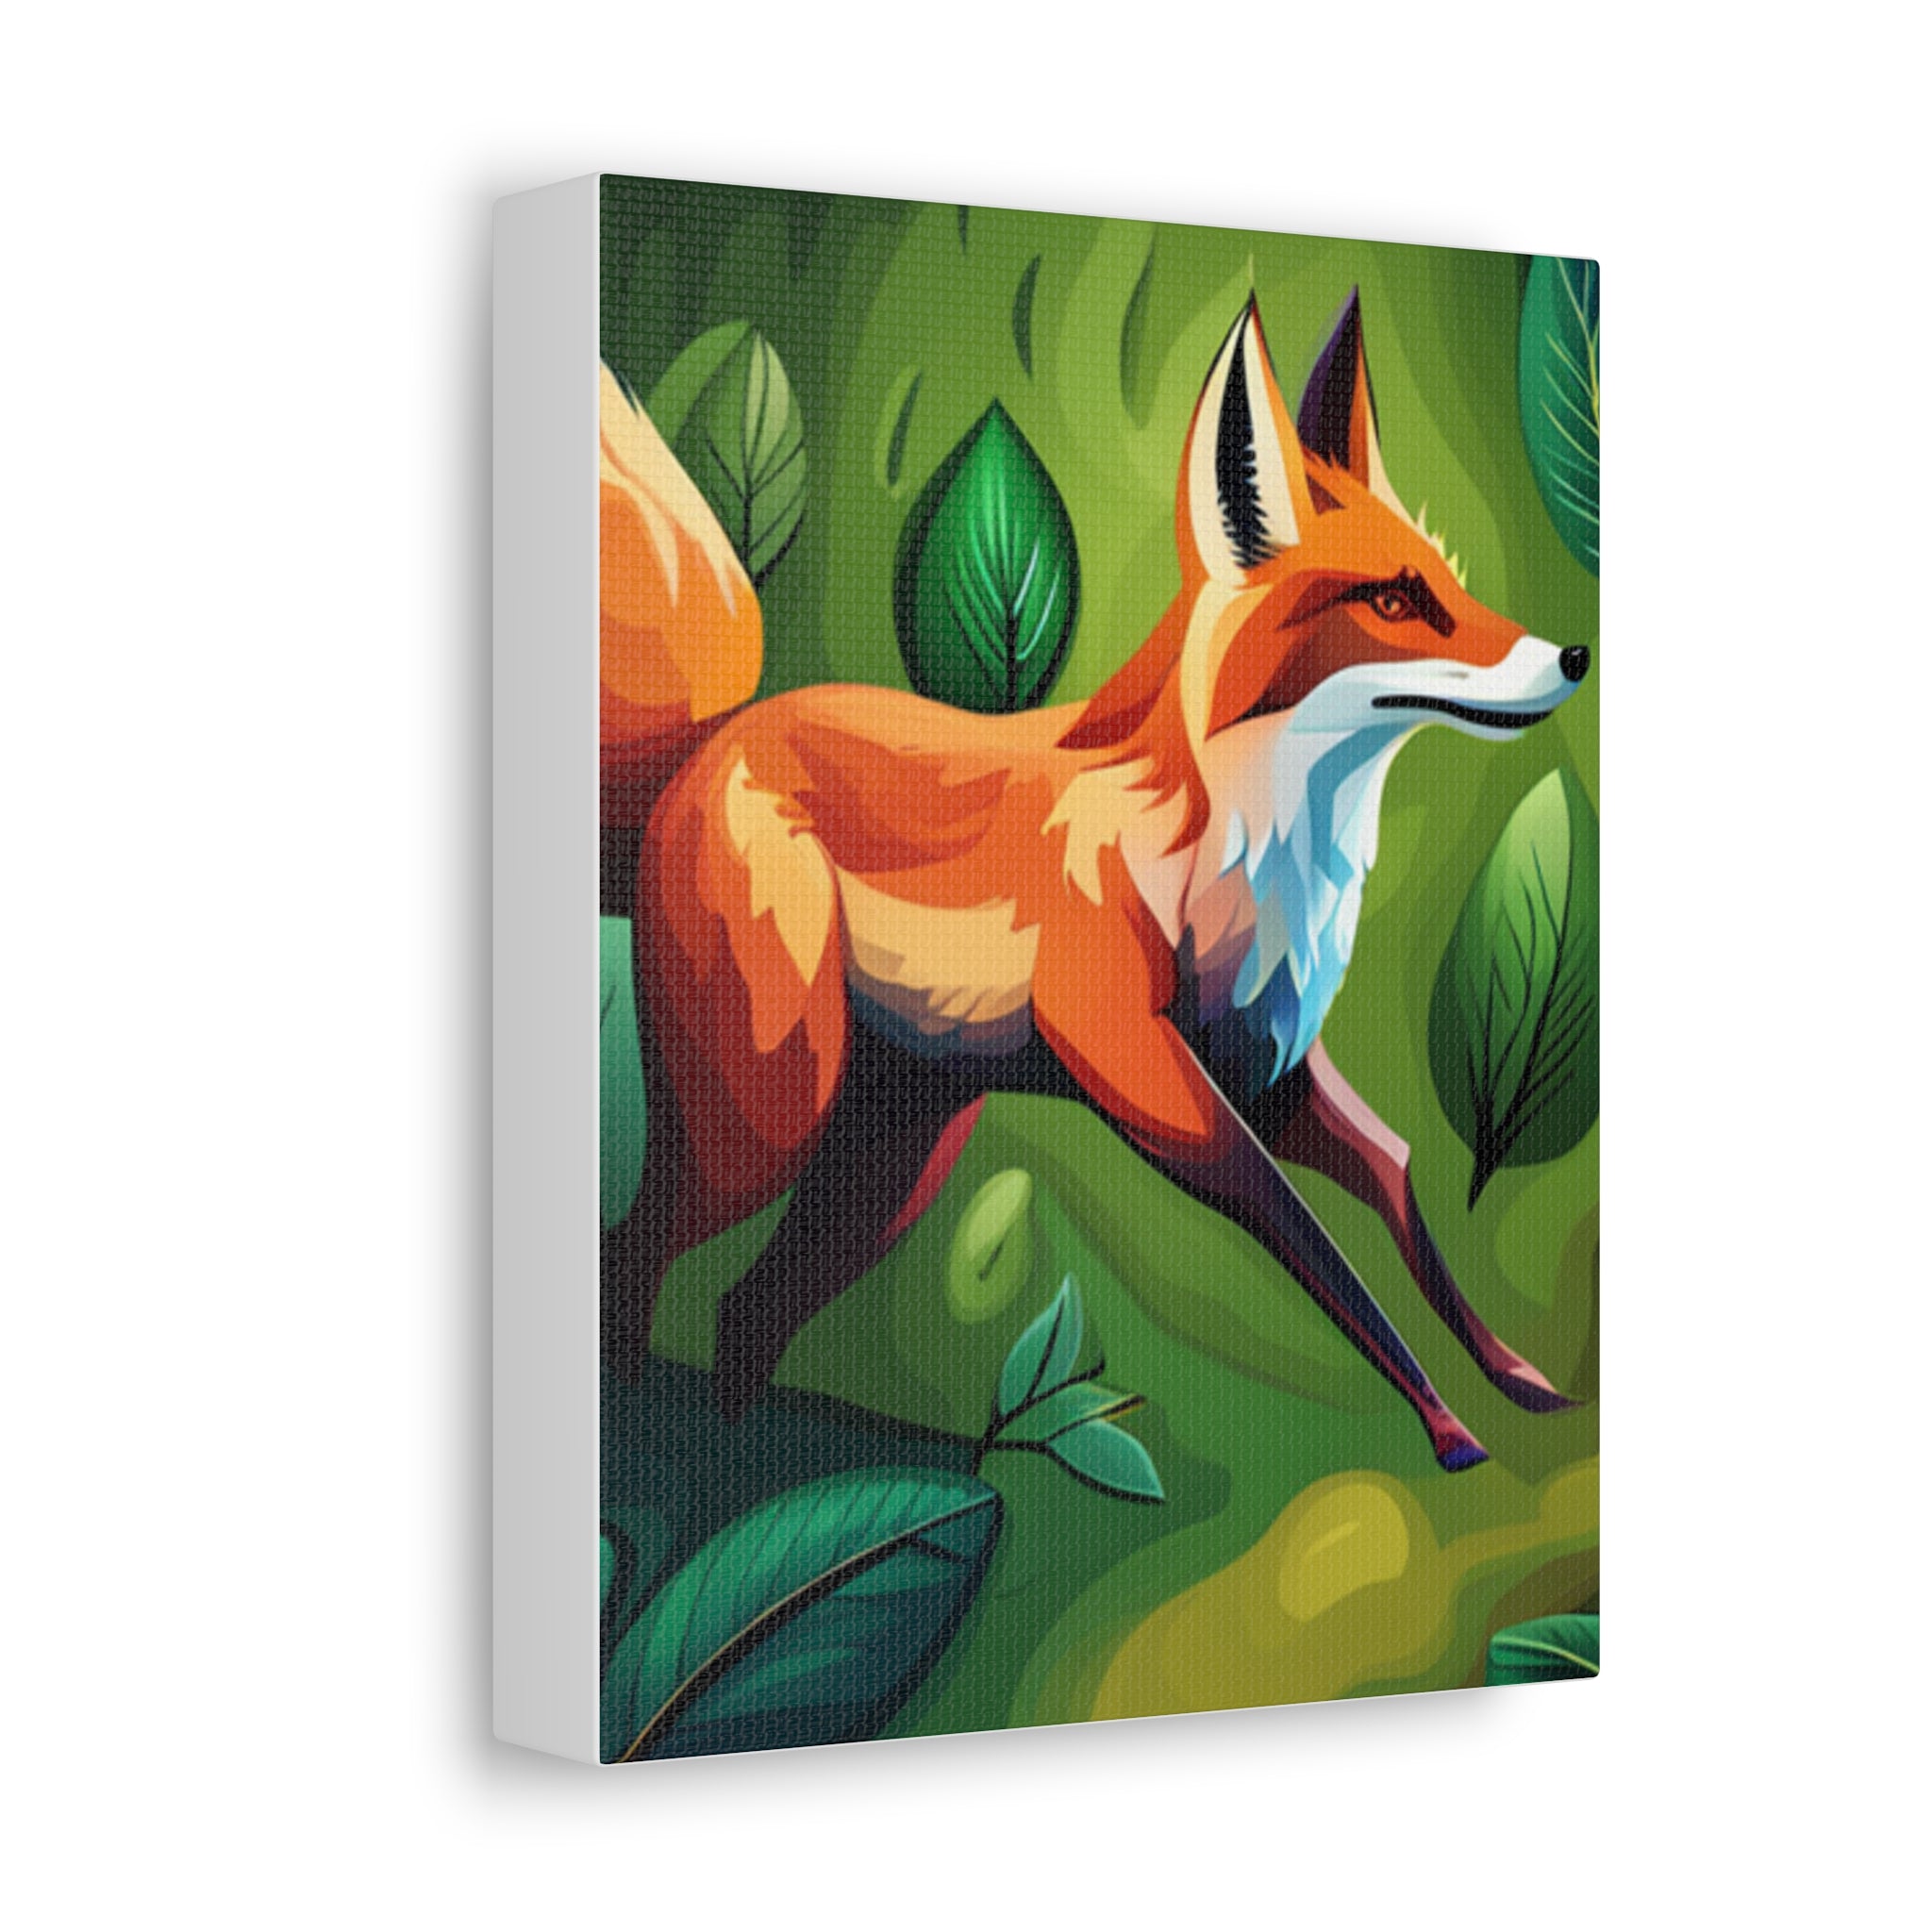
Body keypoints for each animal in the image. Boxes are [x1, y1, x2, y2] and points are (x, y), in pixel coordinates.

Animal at [598, 291, 1590, 1473]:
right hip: (760, 1123)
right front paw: (1446, 1428)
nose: (1573, 655)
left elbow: (1396, 1176)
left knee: (745, 1311)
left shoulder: (1264, 1062)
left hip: (893, 1160)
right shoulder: (1149, 1074)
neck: (1238, 849)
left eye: (1447, 578)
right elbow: (1315, 1245)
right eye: (1394, 599)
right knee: (631, 1257)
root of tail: (718, 739)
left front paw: (1517, 1378)